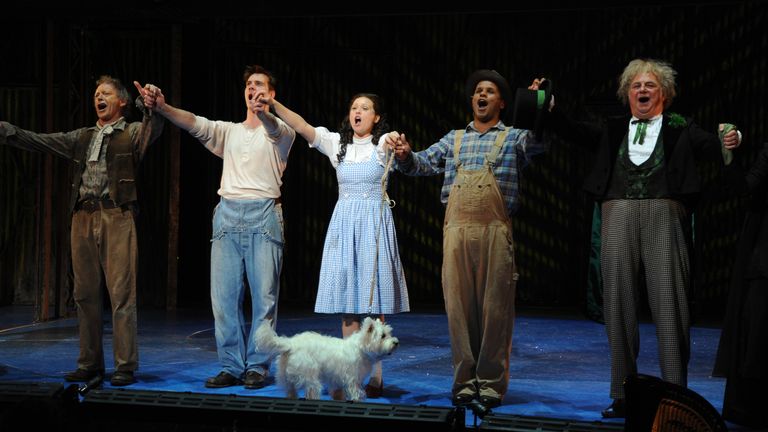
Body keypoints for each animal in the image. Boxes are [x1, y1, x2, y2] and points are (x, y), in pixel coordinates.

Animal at [258, 316, 402, 400]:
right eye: (383, 336)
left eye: (389, 334)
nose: (396, 342)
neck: (361, 348)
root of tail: (290, 344)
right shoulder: (352, 378)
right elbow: (356, 392)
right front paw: (358, 399)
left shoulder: (337, 377)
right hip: (311, 377)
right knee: (312, 391)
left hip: (288, 377)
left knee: (291, 391)